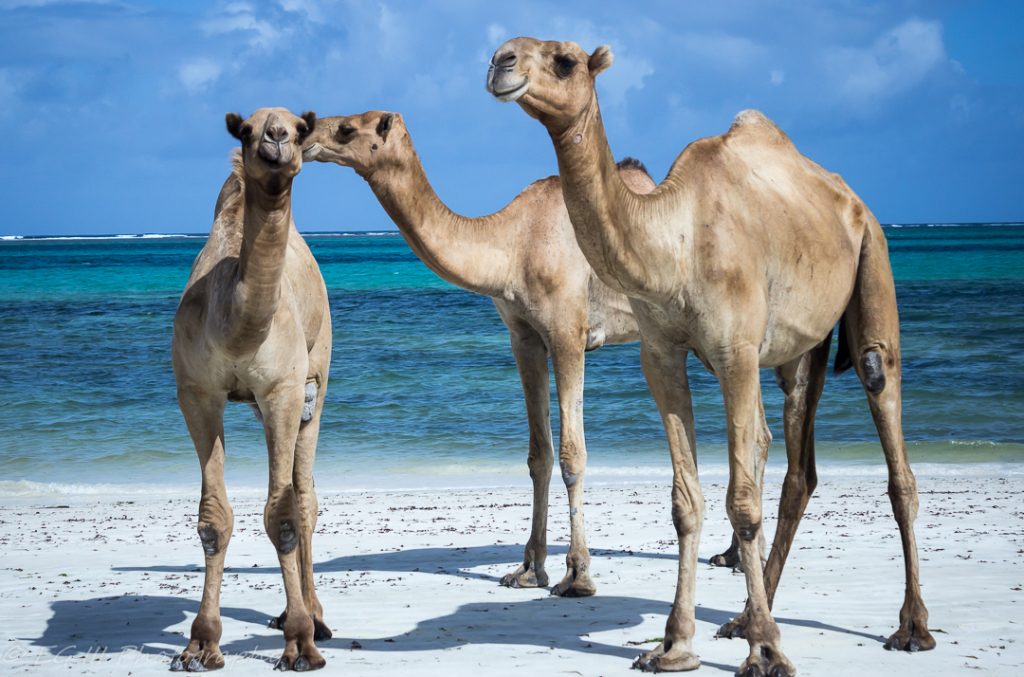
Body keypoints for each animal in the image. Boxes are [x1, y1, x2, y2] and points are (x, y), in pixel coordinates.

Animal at [167, 105, 327, 671]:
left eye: (300, 128)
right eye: (245, 130)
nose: (276, 140)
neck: (235, 326)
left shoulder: (281, 390)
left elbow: (282, 513)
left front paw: (300, 643)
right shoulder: (197, 393)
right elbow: (213, 518)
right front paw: (200, 644)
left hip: (316, 381)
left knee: (304, 495)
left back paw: (317, 618)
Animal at [299, 111, 659, 598]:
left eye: (348, 129)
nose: (304, 133)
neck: (512, 246)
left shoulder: (568, 331)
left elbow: (572, 455)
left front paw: (577, 576)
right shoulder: (524, 337)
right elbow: (539, 455)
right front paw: (527, 570)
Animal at [487, 38, 937, 675]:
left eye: (565, 60)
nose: (501, 61)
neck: (675, 240)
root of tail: (851, 199)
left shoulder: (736, 354)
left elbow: (742, 502)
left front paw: (768, 653)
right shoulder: (660, 356)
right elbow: (686, 501)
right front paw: (675, 645)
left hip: (874, 258)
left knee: (887, 417)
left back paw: (910, 627)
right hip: (802, 348)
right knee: (801, 468)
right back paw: (746, 617)